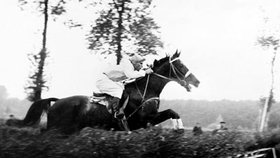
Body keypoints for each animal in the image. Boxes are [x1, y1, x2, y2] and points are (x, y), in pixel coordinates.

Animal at [24, 51, 199, 134]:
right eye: (181, 65)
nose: (197, 82)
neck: (145, 90)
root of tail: (57, 101)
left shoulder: (147, 121)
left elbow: (172, 112)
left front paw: (179, 129)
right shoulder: (143, 120)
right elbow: (171, 111)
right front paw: (179, 129)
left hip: (70, 130)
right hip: (58, 128)